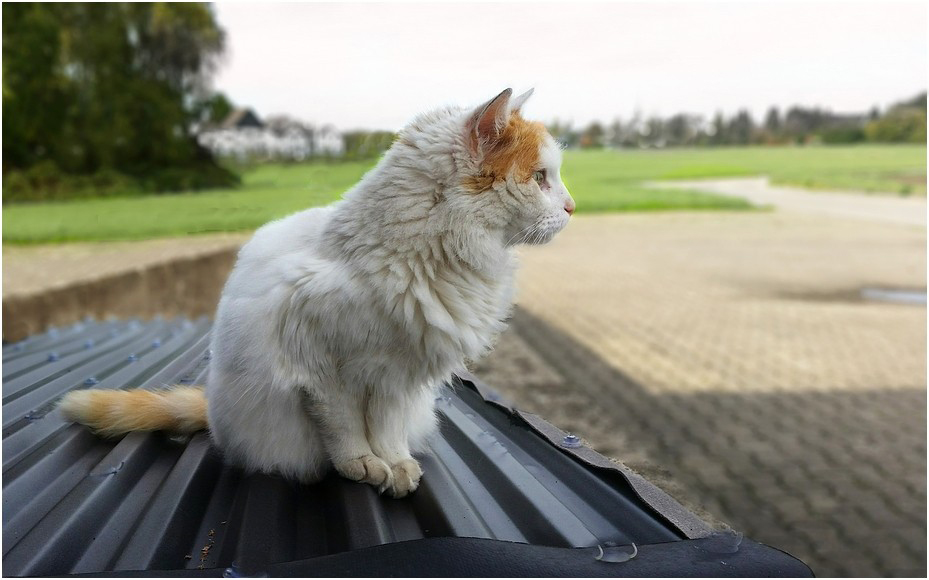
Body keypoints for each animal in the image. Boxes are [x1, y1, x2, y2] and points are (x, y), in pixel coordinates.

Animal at [58, 89, 572, 498]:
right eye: (541, 178)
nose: (571, 207)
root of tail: (214, 412)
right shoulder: (324, 371)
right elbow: (345, 431)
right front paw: (362, 466)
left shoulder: (398, 381)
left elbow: (387, 430)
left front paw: (396, 465)